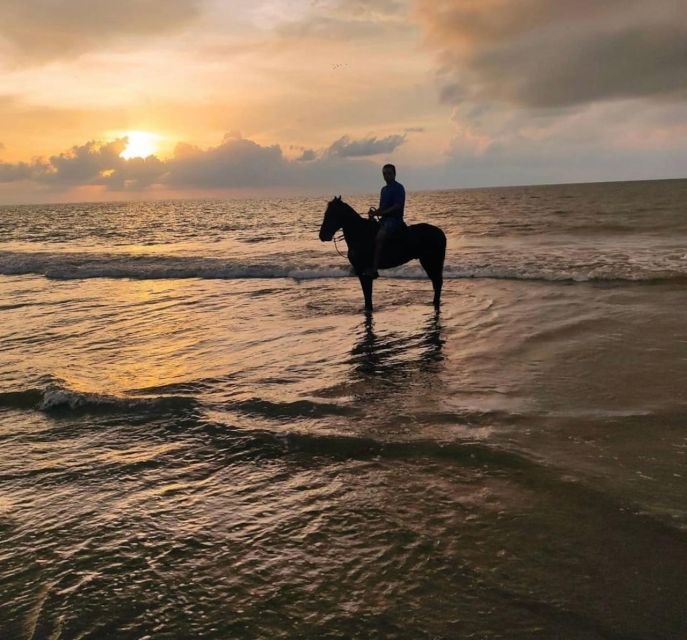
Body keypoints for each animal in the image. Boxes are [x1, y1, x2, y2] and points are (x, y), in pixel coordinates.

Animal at [320, 198, 448, 312]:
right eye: (326, 213)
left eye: (332, 214)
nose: (322, 235)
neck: (360, 234)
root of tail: (441, 233)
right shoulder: (360, 271)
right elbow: (366, 294)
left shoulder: (365, 271)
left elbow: (368, 294)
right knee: (436, 282)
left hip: (431, 261)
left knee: (437, 282)